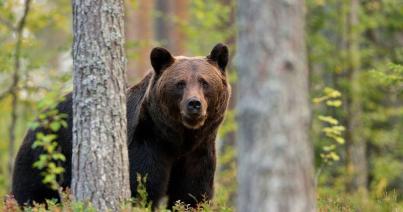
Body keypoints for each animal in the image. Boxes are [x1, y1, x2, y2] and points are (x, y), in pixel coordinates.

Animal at [11, 43, 230, 209]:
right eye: (180, 83)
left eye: (204, 82)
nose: (194, 104)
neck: (179, 139)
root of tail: (40, 117)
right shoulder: (146, 143)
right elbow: (142, 187)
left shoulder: (198, 153)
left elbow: (192, 194)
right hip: (46, 156)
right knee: (32, 193)